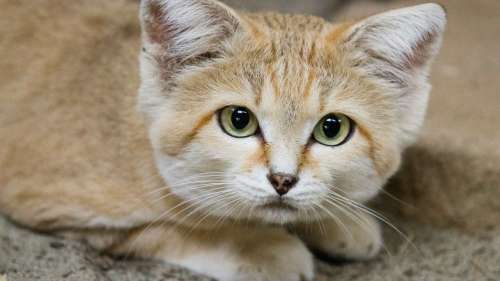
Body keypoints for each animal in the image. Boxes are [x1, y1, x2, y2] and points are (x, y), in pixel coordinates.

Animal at [0, 0, 446, 278]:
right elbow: (185, 227)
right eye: (238, 121)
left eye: (332, 129)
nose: (283, 180)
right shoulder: (47, 202)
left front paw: (337, 217)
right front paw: (259, 245)